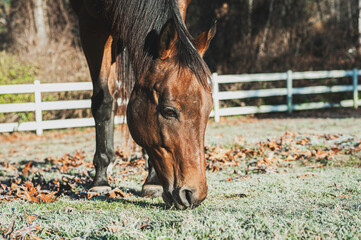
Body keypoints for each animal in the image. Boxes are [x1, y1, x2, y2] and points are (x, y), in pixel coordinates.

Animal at [71, 0, 217, 209]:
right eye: (168, 111)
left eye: (208, 110)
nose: (193, 194)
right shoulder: (90, 23)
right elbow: (103, 101)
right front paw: (100, 180)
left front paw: (152, 181)